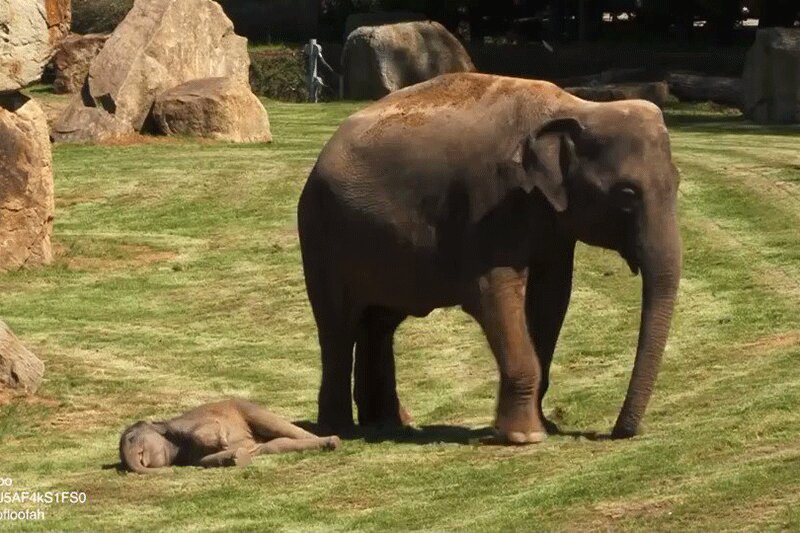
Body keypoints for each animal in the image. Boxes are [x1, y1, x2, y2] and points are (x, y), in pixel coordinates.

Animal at [119, 396, 340, 472]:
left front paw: (223, 442)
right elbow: (207, 459)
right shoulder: (190, 457)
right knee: (277, 445)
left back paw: (334, 441)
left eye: (131, 437)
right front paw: (237, 456)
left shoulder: (186, 424)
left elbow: (212, 427)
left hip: (245, 407)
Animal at [300, 72, 680, 442]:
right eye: (627, 194)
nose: (620, 432)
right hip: (321, 235)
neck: (576, 107)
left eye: (677, 184)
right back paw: (339, 429)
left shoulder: (550, 224)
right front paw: (525, 436)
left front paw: (542, 426)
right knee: (338, 326)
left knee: (379, 324)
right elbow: (493, 292)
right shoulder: (491, 200)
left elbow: (552, 297)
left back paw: (390, 424)